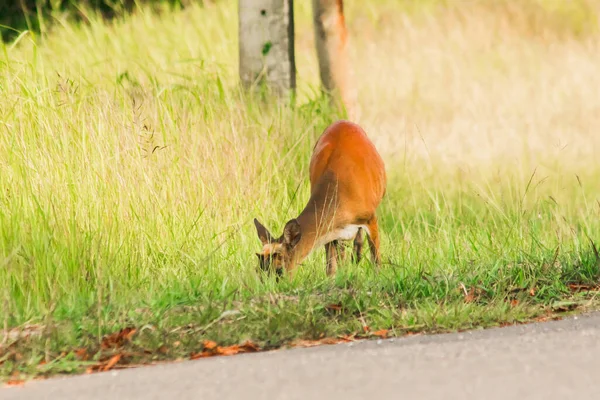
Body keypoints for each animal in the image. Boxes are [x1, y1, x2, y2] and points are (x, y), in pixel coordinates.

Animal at [252, 119, 384, 278]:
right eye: (258, 270)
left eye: (279, 270)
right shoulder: (330, 231)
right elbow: (331, 266)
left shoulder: (370, 217)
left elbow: (376, 259)